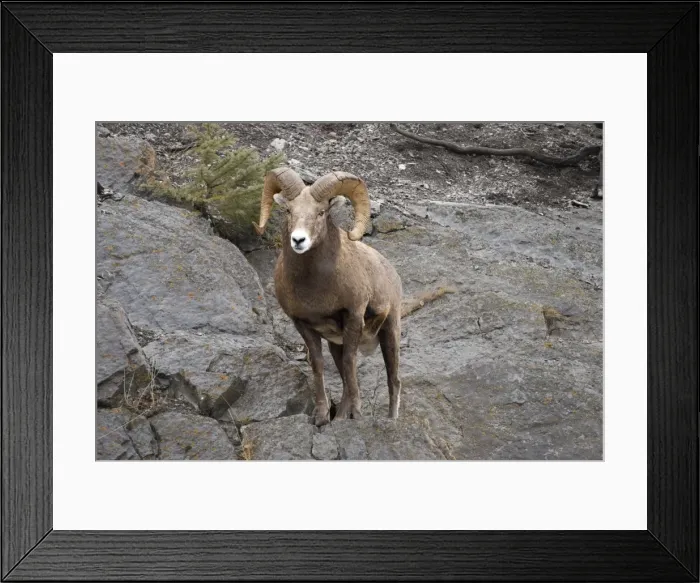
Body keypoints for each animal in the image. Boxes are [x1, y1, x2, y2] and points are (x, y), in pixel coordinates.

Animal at [253, 168, 403, 426]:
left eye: (321, 212)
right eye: (289, 210)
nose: (298, 240)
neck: (316, 288)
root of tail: (391, 271)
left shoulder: (353, 317)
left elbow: (350, 364)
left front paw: (357, 414)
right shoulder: (304, 325)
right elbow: (319, 365)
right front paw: (322, 416)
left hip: (390, 331)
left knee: (393, 379)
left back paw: (391, 419)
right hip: (337, 343)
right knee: (343, 376)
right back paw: (341, 416)